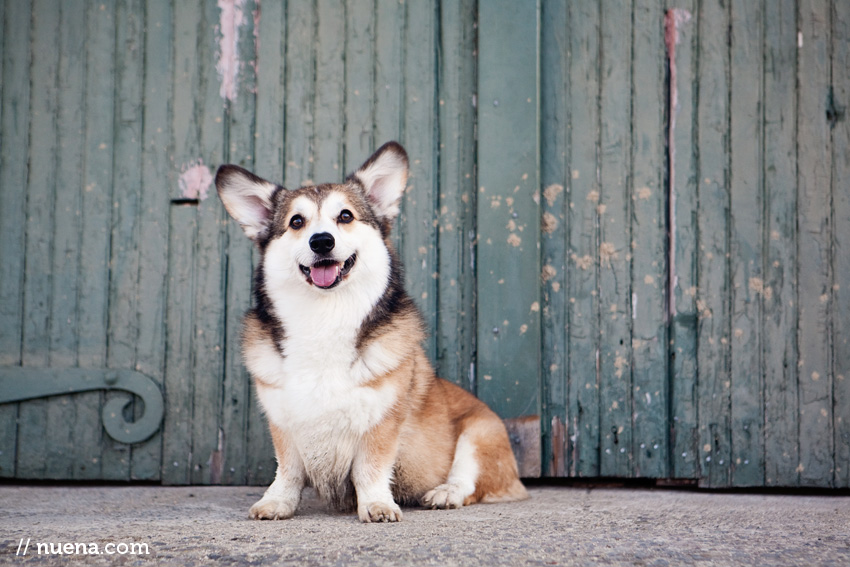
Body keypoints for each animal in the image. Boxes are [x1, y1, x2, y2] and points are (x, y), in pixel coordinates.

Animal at [215, 142, 528, 524]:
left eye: (345, 216)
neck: (326, 315)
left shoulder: (381, 422)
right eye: (296, 222)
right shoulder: (284, 422)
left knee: (468, 480)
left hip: (480, 433)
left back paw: (445, 493)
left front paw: (377, 506)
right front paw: (277, 503)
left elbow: (370, 468)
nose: (322, 241)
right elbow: (287, 470)